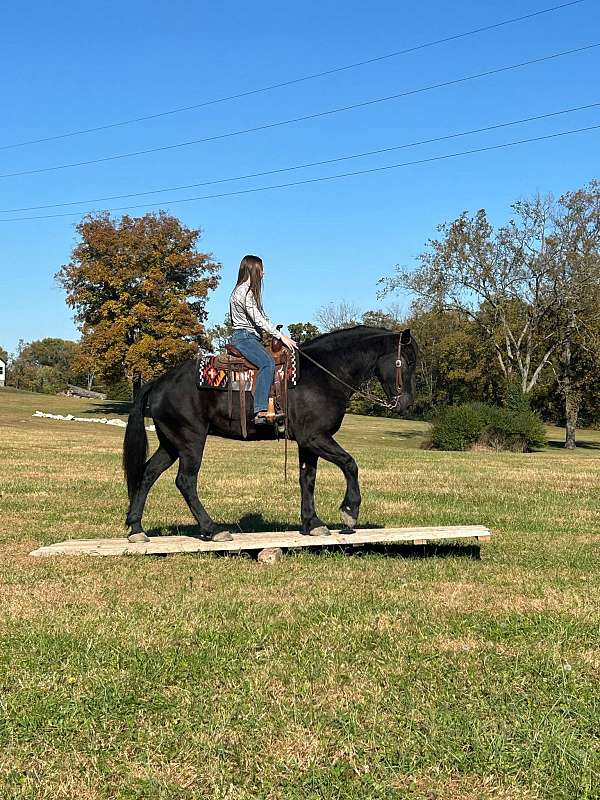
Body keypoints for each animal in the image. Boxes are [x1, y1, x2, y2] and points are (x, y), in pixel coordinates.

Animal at [123, 324, 418, 544]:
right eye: (407, 361)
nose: (406, 404)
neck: (323, 375)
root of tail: (159, 381)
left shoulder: (307, 443)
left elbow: (307, 479)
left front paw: (312, 523)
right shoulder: (315, 437)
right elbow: (350, 464)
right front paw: (349, 511)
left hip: (171, 443)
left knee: (148, 474)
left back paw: (137, 528)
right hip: (190, 441)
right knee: (185, 481)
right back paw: (213, 529)